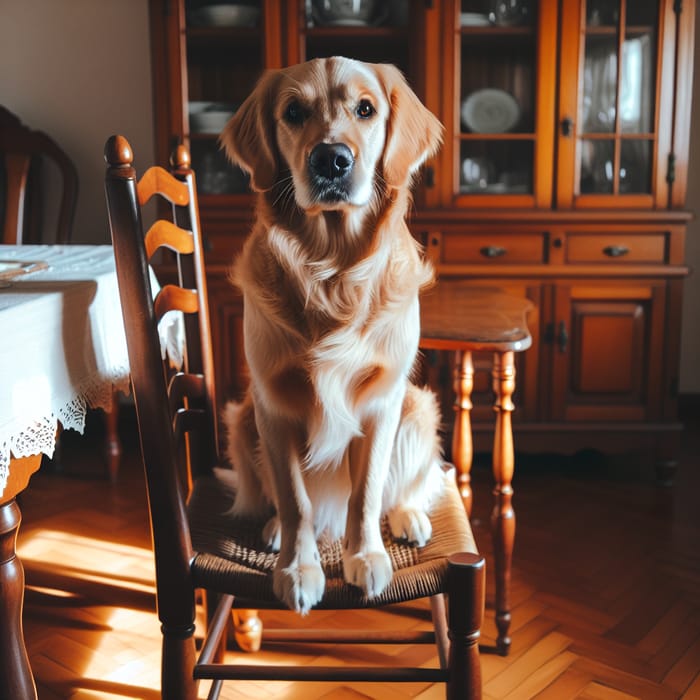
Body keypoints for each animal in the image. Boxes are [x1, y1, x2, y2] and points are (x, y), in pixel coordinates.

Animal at [221, 56, 446, 612]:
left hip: (417, 409)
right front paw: (298, 569)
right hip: (243, 419)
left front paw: (364, 558)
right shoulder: (272, 404)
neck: (332, 272)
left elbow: (366, 493)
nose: (332, 160)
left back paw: (408, 516)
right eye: (293, 112)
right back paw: (275, 530)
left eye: (366, 109)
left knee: (407, 486)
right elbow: (296, 500)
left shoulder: (383, 401)